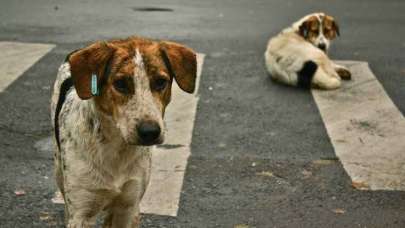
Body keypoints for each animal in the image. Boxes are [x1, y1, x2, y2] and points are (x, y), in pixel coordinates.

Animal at [50, 36, 196, 227]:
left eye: (160, 82)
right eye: (120, 84)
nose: (150, 132)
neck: (116, 146)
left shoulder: (128, 206)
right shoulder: (82, 213)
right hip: (59, 170)